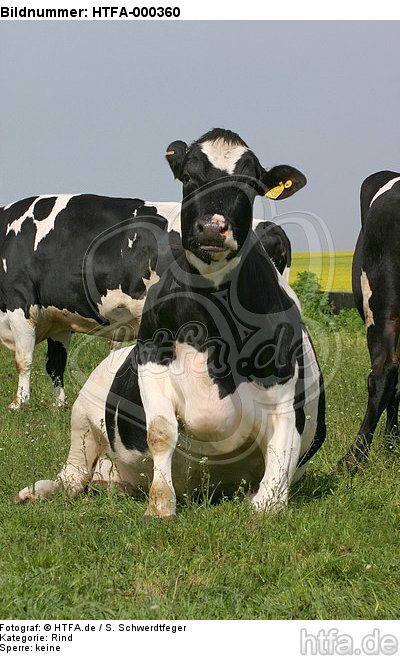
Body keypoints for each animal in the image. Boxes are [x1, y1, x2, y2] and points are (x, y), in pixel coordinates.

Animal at [0, 195, 181, 409]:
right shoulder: (59, 318)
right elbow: (55, 363)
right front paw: (59, 404)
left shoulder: (19, 302)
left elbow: (23, 359)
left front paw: (19, 403)